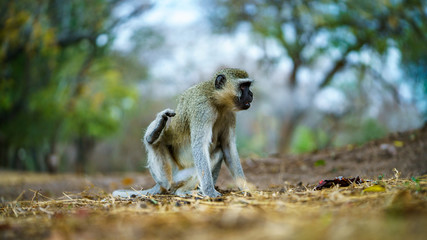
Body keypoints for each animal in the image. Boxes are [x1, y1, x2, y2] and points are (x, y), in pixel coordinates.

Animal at [113, 67, 254, 197]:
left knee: (219, 153)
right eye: (243, 86)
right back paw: (153, 135)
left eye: (248, 86)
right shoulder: (203, 109)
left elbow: (228, 147)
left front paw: (245, 188)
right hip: (172, 175)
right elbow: (199, 146)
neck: (216, 100)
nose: (251, 94)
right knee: (156, 145)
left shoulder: (230, 115)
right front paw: (210, 192)